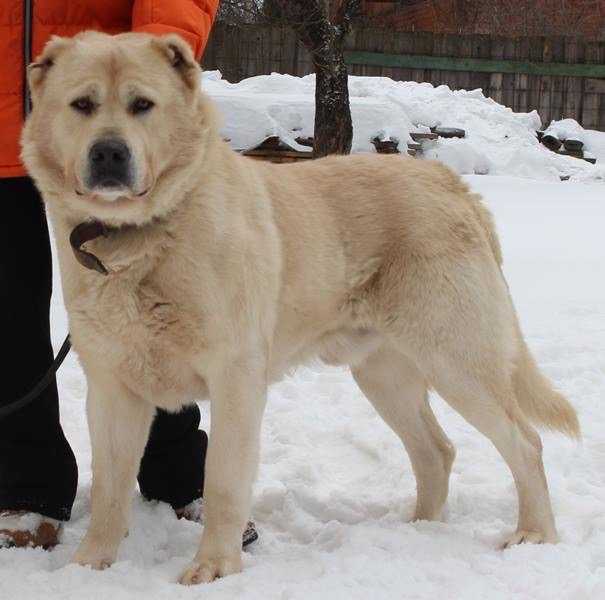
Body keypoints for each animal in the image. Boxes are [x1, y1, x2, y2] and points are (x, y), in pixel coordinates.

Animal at [22, 32, 580, 584]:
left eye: (142, 105)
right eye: (82, 105)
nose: (109, 153)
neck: (140, 240)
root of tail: (450, 182)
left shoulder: (235, 380)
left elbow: (222, 481)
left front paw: (216, 567)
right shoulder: (112, 389)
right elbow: (110, 489)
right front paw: (89, 567)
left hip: (457, 360)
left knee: (525, 442)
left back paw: (533, 534)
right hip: (385, 376)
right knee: (436, 451)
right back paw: (421, 528)